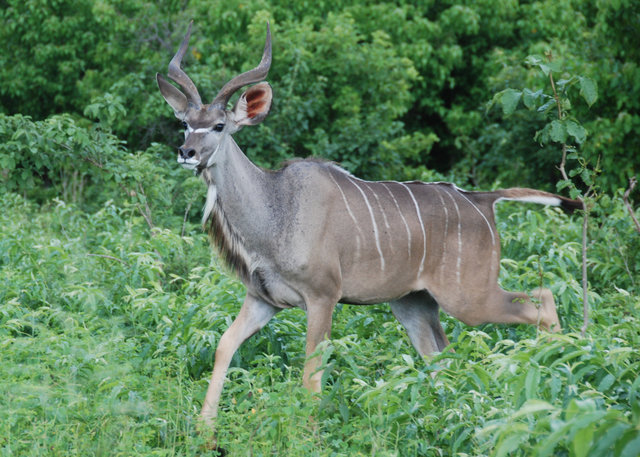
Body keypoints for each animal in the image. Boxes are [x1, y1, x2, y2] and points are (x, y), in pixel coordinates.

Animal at [156, 23, 584, 432]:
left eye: (218, 126)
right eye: (184, 124)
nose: (186, 153)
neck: (277, 207)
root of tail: (483, 200)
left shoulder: (323, 297)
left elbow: (311, 373)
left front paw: (309, 434)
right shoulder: (263, 299)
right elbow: (224, 345)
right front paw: (204, 429)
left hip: (468, 299)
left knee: (542, 301)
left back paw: (565, 368)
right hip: (414, 304)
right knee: (442, 358)